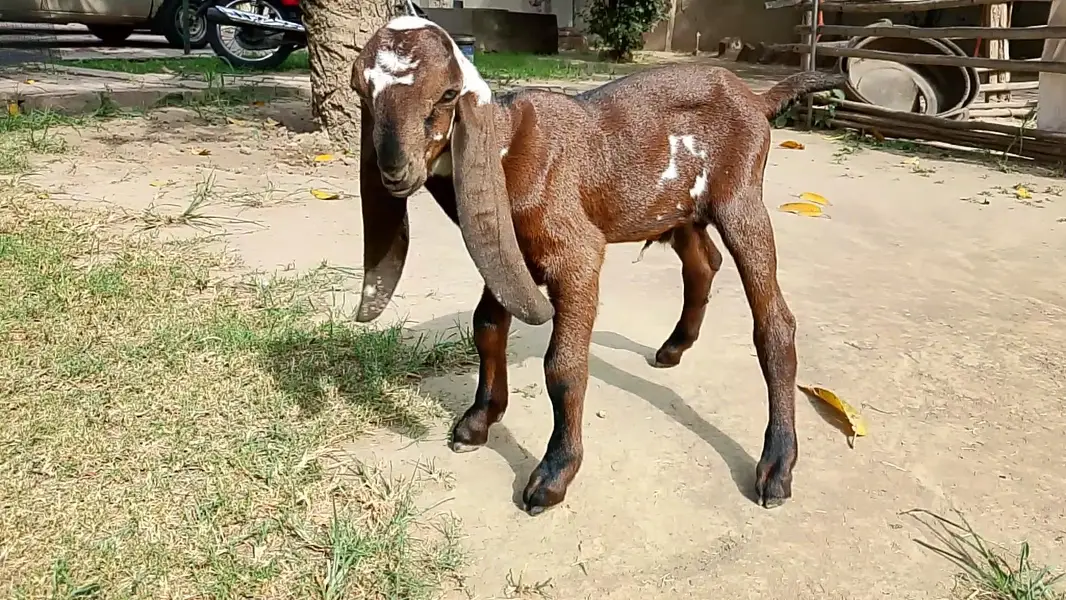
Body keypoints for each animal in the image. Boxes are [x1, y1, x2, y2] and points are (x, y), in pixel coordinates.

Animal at [350, 16, 846, 515]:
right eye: (361, 91)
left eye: (449, 93)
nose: (395, 169)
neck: (509, 145)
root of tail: (756, 98)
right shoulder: (505, 254)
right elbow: (487, 327)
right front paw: (477, 422)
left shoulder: (577, 255)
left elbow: (562, 366)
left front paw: (553, 475)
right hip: (680, 211)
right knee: (703, 263)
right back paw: (674, 347)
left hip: (741, 199)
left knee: (774, 322)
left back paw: (776, 467)